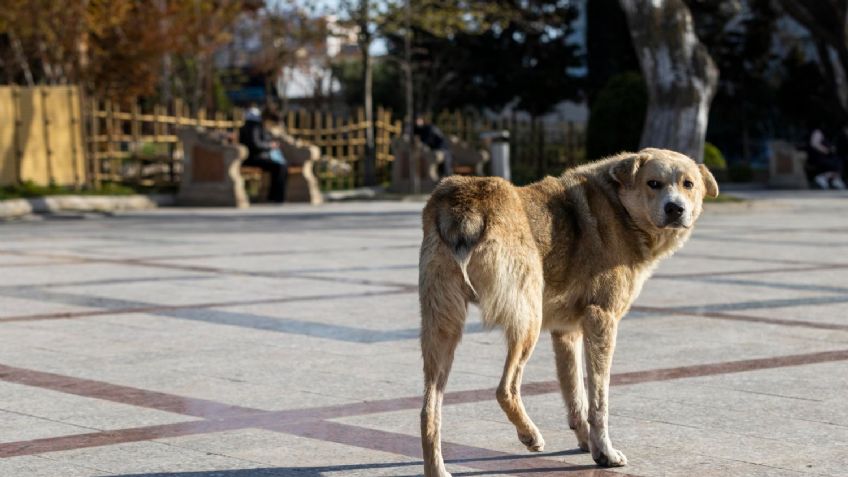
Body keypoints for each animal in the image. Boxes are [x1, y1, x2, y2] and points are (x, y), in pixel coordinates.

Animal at [418, 147, 716, 474]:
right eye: (653, 183)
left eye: (688, 184)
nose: (675, 209)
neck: (619, 207)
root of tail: (466, 202)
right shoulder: (601, 320)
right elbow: (598, 400)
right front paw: (605, 452)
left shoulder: (566, 332)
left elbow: (576, 396)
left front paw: (589, 446)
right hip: (528, 321)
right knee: (505, 389)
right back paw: (530, 435)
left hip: (441, 329)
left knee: (428, 410)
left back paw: (437, 469)